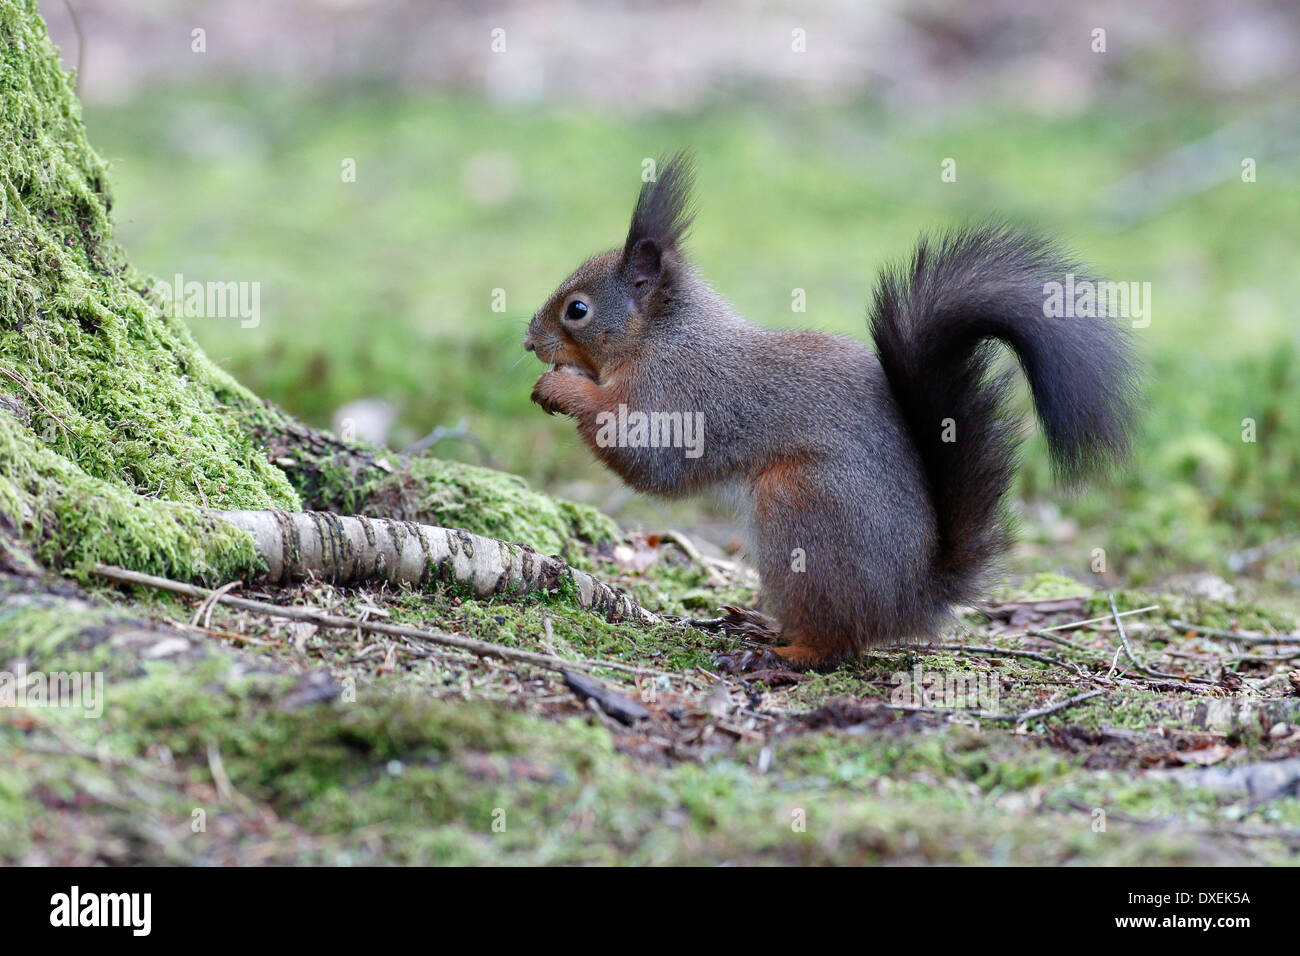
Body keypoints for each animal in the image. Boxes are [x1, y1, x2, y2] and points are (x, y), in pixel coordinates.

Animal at [525, 153, 1138, 671]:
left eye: (577, 310)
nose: (530, 342)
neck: (662, 337)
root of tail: (914, 599)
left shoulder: (683, 396)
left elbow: (646, 455)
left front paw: (562, 389)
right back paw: (760, 628)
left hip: (802, 507)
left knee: (839, 642)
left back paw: (785, 653)